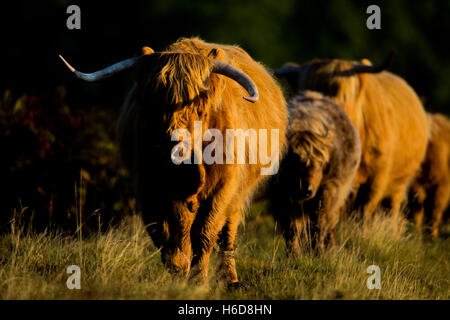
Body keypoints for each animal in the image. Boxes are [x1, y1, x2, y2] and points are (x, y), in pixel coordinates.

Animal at [59, 38, 286, 288]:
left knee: (227, 233)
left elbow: (206, 231)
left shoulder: (224, 186)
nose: (174, 149)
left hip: (238, 194)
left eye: (199, 108)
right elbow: (165, 230)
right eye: (151, 104)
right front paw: (179, 271)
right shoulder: (148, 186)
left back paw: (232, 281)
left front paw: (198, 280)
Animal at [268, 91, 360, 254]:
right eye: (294, 161)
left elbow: (319, 223)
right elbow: (291, 227)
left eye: (321, 163)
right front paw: (293, 253)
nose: (307, 189)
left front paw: (319, 251)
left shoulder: (329, 190)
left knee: (330, 223)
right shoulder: (281, 195)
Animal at [274, 54, 428, 220]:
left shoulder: (376, 179)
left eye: (344, 96)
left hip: (400, 182)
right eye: (303, 93)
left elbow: (365, 210)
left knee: (391, 207)